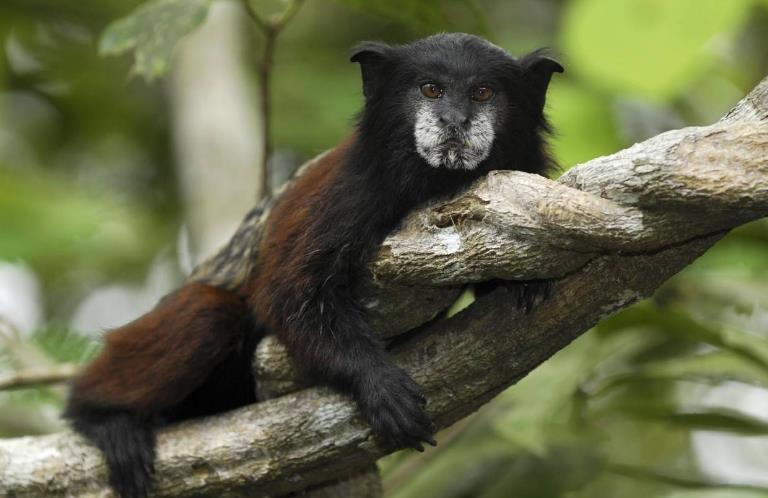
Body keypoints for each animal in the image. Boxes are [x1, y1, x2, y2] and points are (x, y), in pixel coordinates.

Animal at [64, 33, 564, 496]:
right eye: (431, 90)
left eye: (482, 93)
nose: (454, 121)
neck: (433, 182)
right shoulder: (347, 193)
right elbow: (287, 294)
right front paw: (377, 384)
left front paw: (523, 283)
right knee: (208, 315)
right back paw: (103, 416)